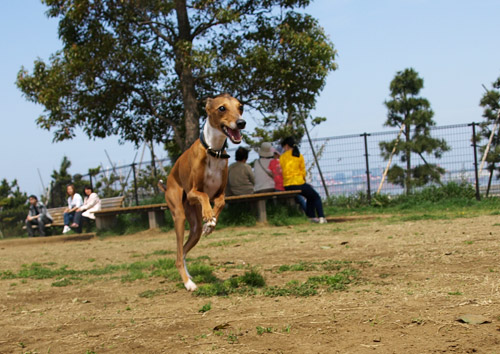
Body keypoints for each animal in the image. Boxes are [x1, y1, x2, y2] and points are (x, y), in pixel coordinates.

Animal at [159, 93, 245, 290]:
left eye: (241, 107)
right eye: (222, 108)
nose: (241, 123)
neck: (214, 151)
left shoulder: (220, 193)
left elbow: (221, 202)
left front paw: (211, 223)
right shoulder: (192, 192)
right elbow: (203, 195)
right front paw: (208, 214)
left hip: (194, 227)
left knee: (183, 252)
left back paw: (189, 275)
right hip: (179, 214)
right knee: (178, 255)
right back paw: (188, 283)